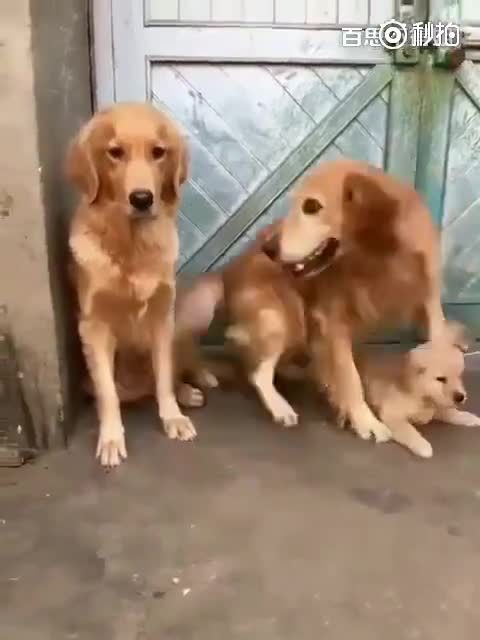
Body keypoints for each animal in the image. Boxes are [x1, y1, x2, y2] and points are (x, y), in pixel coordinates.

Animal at [67, 102, 196, 468]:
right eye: (115, 153)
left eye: (158, 152)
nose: (141, 198)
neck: (132, 246)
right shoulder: (93, 327)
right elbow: (107, 393)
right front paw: (111, 438)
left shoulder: (162, 318)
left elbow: (164, 376)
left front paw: (173, 416)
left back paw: (187, 392)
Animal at [350, 322, 480, 458]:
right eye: (441, 379)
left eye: (459, 376)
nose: (461, 397)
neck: (421, 395)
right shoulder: (392, 415)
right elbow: (408, 430)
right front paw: (422, 445)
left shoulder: (436, 408)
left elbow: (451, 413)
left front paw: (469, 417)